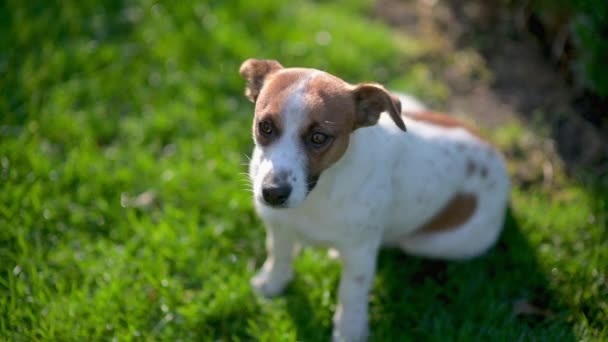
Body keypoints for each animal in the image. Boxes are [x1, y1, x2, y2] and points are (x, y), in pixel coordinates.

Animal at [240, 59, 510, 342]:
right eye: (265, 126)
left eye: (319, 137)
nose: (272, 193)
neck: (318, 194)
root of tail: (496, 153)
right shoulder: (278, 226)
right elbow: (278, 254)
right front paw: (272, 283)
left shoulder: (360, 252)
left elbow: (351, 294)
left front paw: (348, 331)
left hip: (437, 242)